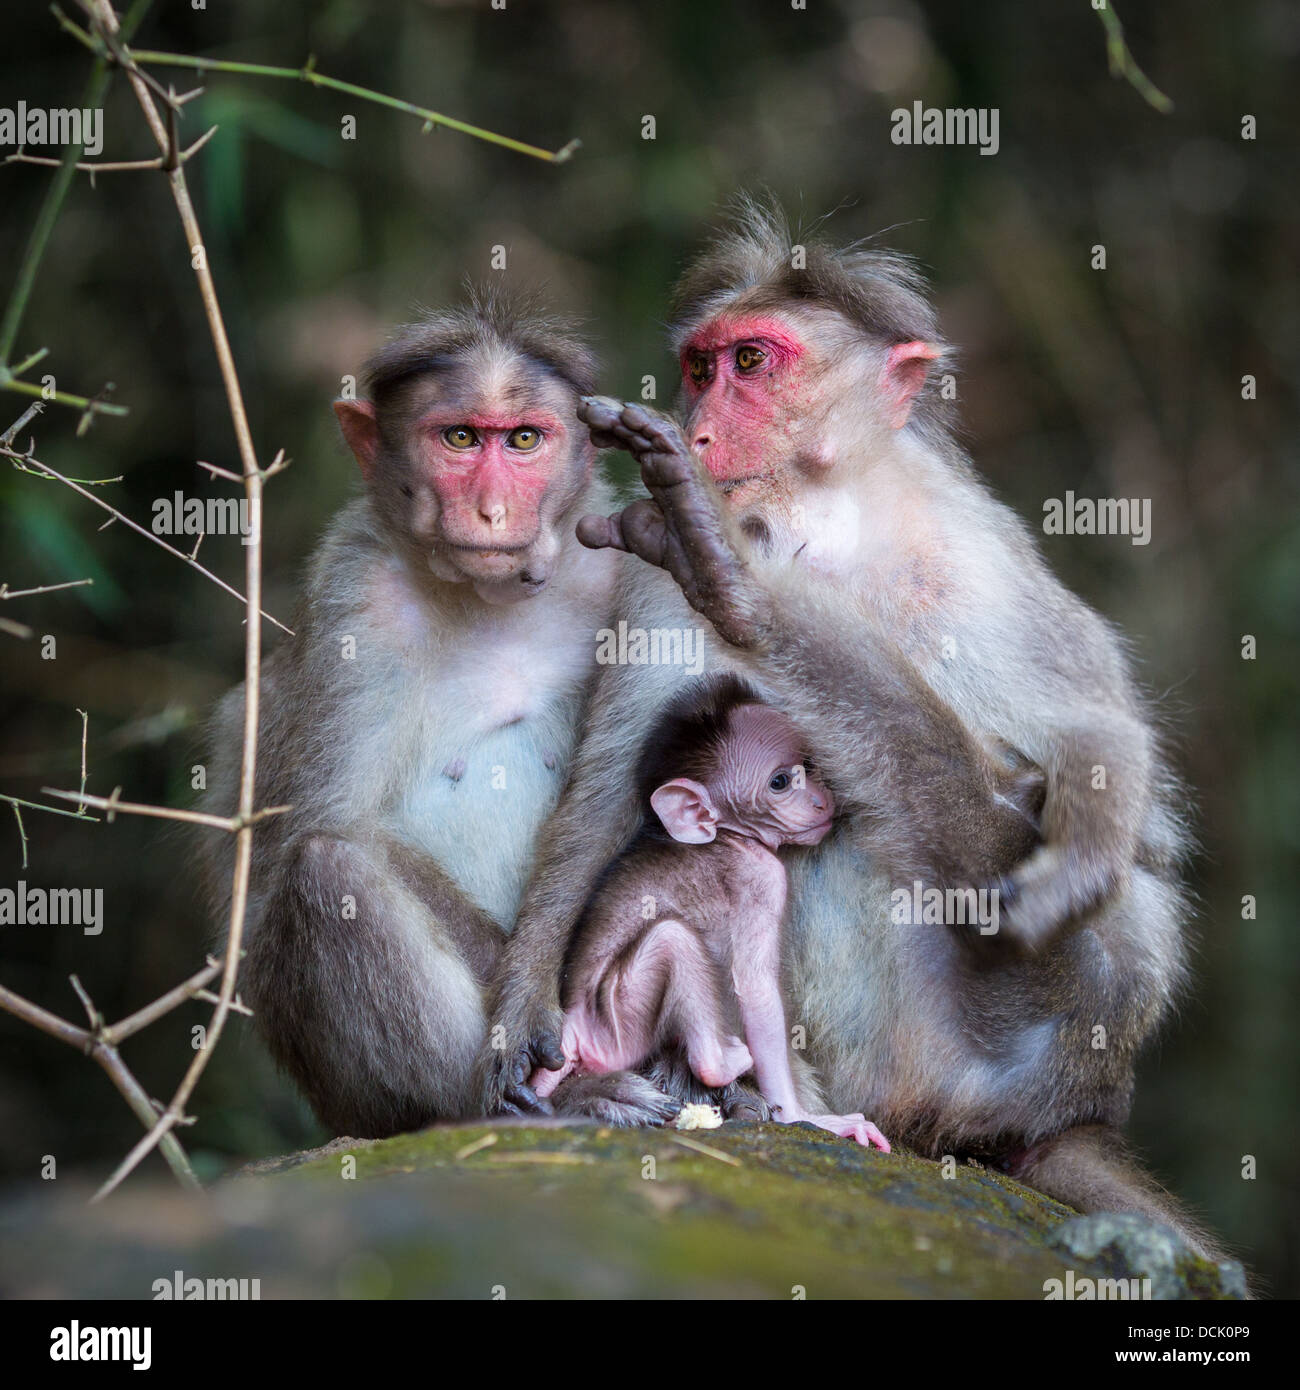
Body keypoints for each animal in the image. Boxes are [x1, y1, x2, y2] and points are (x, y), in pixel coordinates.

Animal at [198, 291, 635, 1139]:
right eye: (460, 437)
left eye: (524, 439)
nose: (492, 512)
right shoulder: (354, 598)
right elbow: (329, 828)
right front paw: (522, 1016)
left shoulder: (624, 574)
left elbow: (619, 794)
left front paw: (529, 986)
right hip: (351, 1099)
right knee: (327, 870)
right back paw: (521, 1101)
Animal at [536, 674, 889, 1149]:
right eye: (780, 782)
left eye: (809, 766)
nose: (821, 800)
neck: (728, 834)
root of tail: (571, 1027)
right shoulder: (762, 879)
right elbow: (756, 988)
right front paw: (805, 1115)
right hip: (615, 1029)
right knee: (673, 940)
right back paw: (718, 1064)